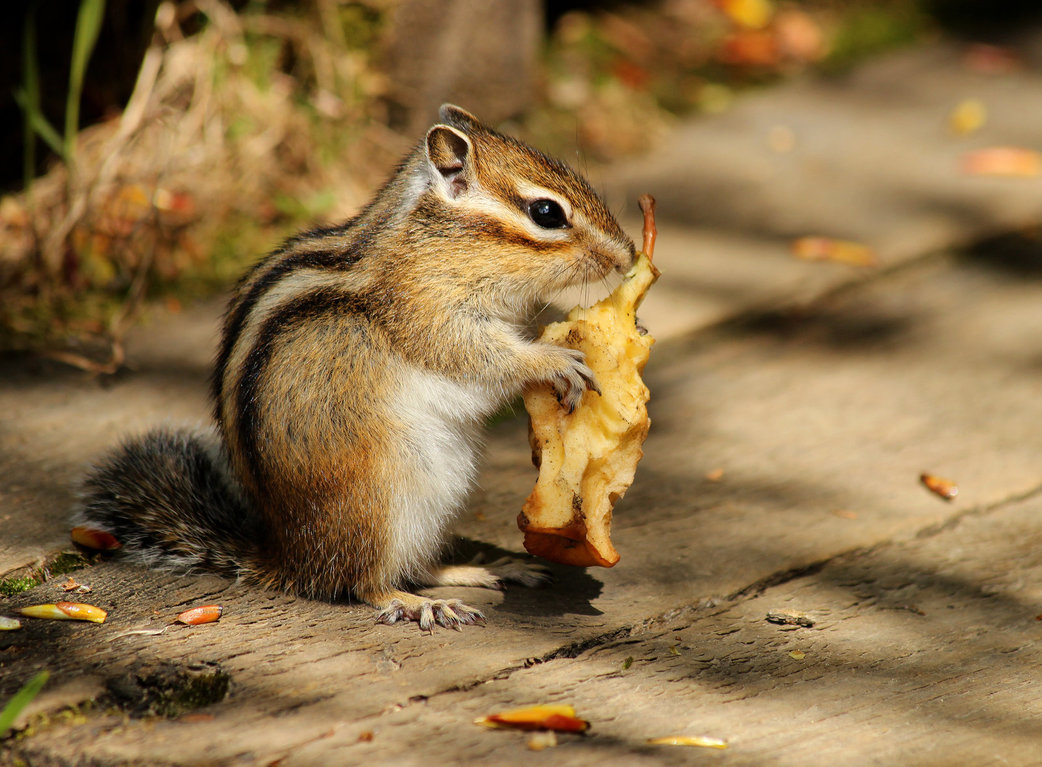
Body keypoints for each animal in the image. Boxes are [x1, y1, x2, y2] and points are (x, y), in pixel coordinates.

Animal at [74, 105, 636, 630]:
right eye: (546, 212)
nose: (627, 256)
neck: (434, 245)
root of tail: (291, 558)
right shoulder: (426, 312)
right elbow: (479, 354)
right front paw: (552, 360)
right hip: (382, 499)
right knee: (363, 582)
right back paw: (419, 603)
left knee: (413, 565)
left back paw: (482, 570)